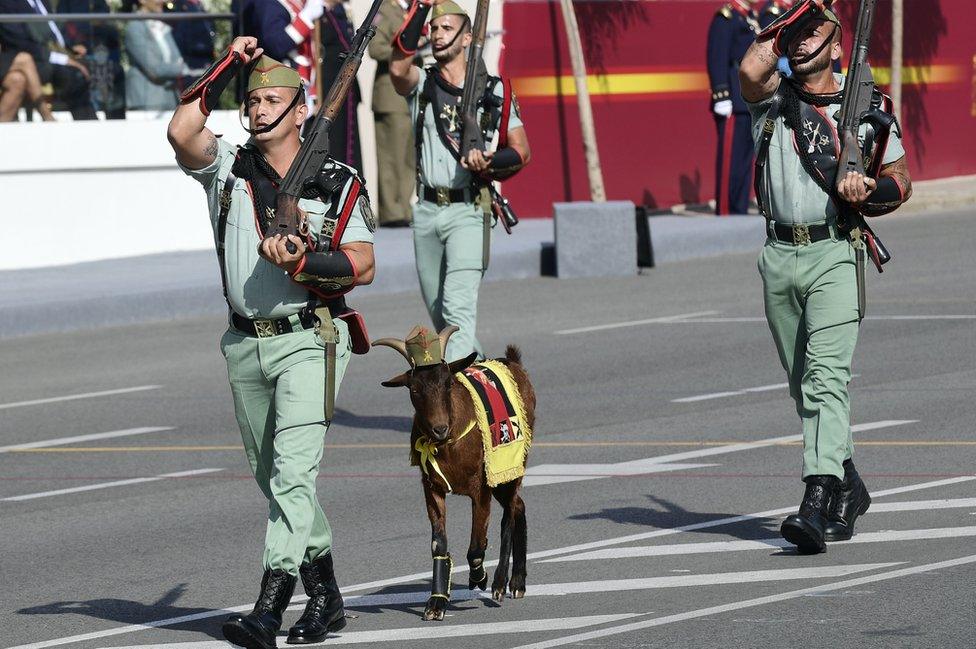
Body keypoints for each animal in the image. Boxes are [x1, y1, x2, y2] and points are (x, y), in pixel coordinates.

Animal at [376, 330, 540, 624]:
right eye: (414, 390)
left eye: (448, 384)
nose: (439, 429)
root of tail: (513, 363)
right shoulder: (431, 487)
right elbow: (438, 544)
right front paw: (436, 603)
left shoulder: (481, 487)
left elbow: (476, 547)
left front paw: (479, 577)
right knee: (519, 507)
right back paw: (518, 582)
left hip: (512, 464)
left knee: (509, 514)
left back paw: (500, 584)